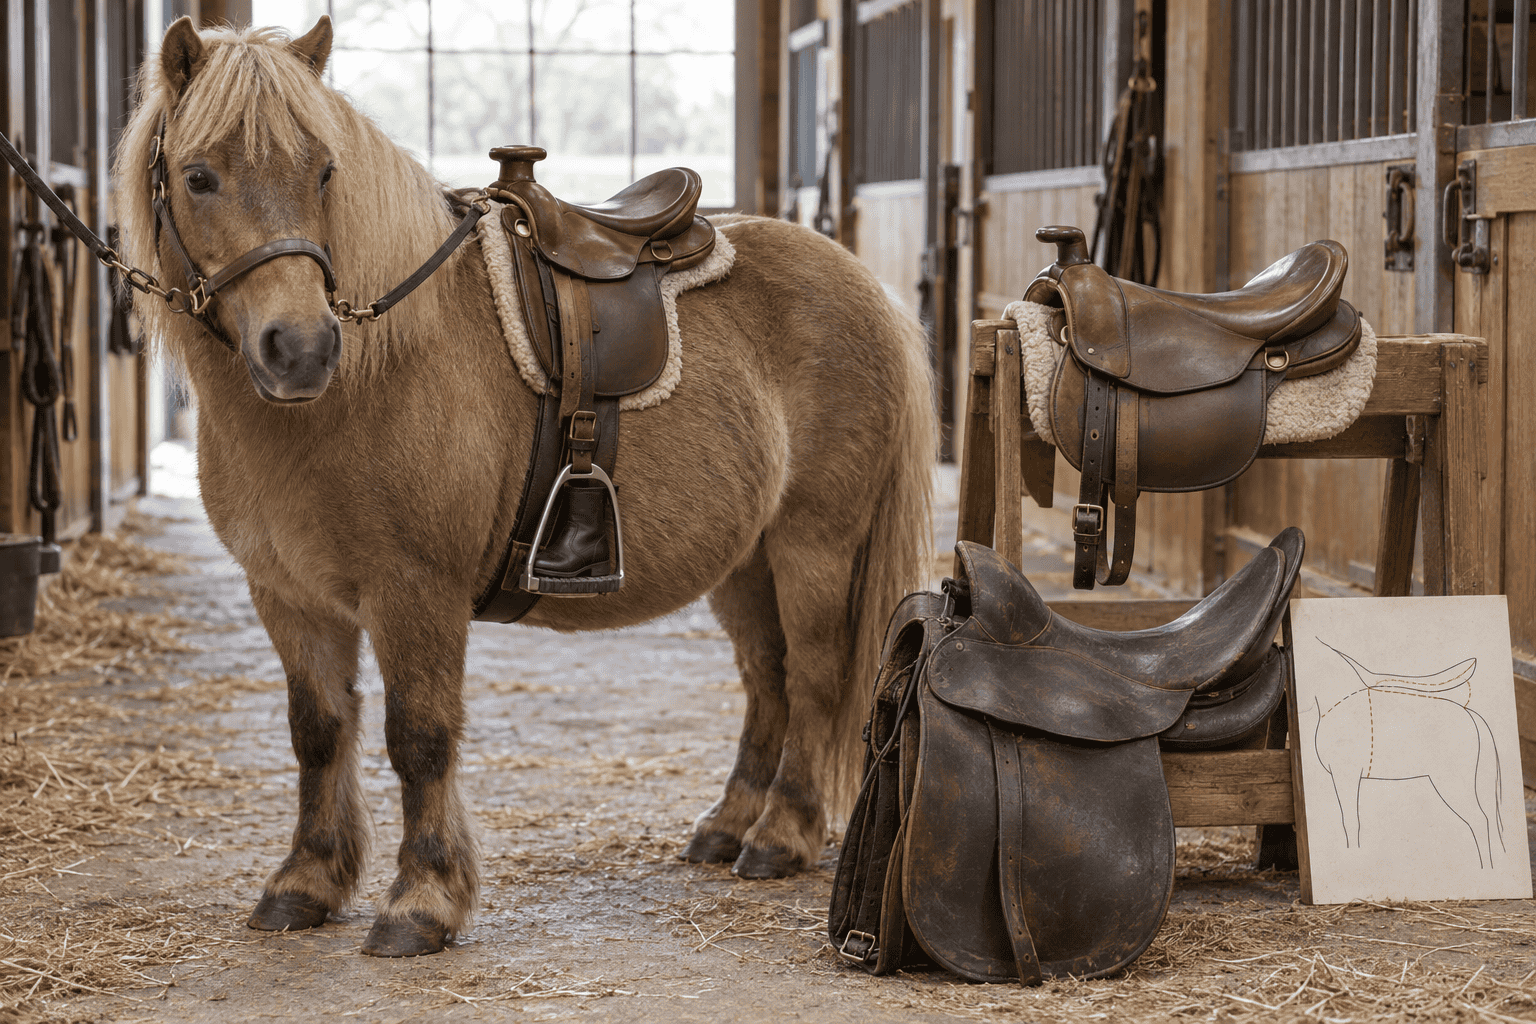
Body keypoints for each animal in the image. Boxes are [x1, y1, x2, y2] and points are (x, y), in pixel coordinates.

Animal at [114, 18, 936, 957]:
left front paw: (422, 902)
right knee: (769, 677)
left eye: (324, 171)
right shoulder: (289, 596)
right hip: (746, 560)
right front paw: (306, 883)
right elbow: (318, 733)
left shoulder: (415, 592)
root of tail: (859, 282)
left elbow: (419, 737)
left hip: (814, 542)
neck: (370, 373)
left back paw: (782, 835)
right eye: (199, 176)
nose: (302, 348)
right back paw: (729, 826)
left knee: (816, 675)